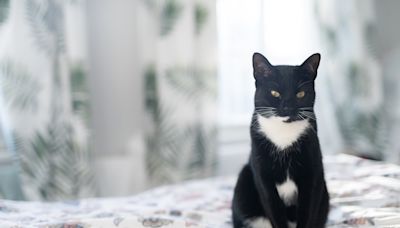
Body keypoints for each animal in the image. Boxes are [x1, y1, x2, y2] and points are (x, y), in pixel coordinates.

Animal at [233, 52, 330, 227]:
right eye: (274, 93)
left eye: (300, 94)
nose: (287, 107)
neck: (283, 134)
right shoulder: (263, 179)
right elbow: (274, 211)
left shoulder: (312, 175)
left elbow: (307, 211)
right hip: (244, 182)